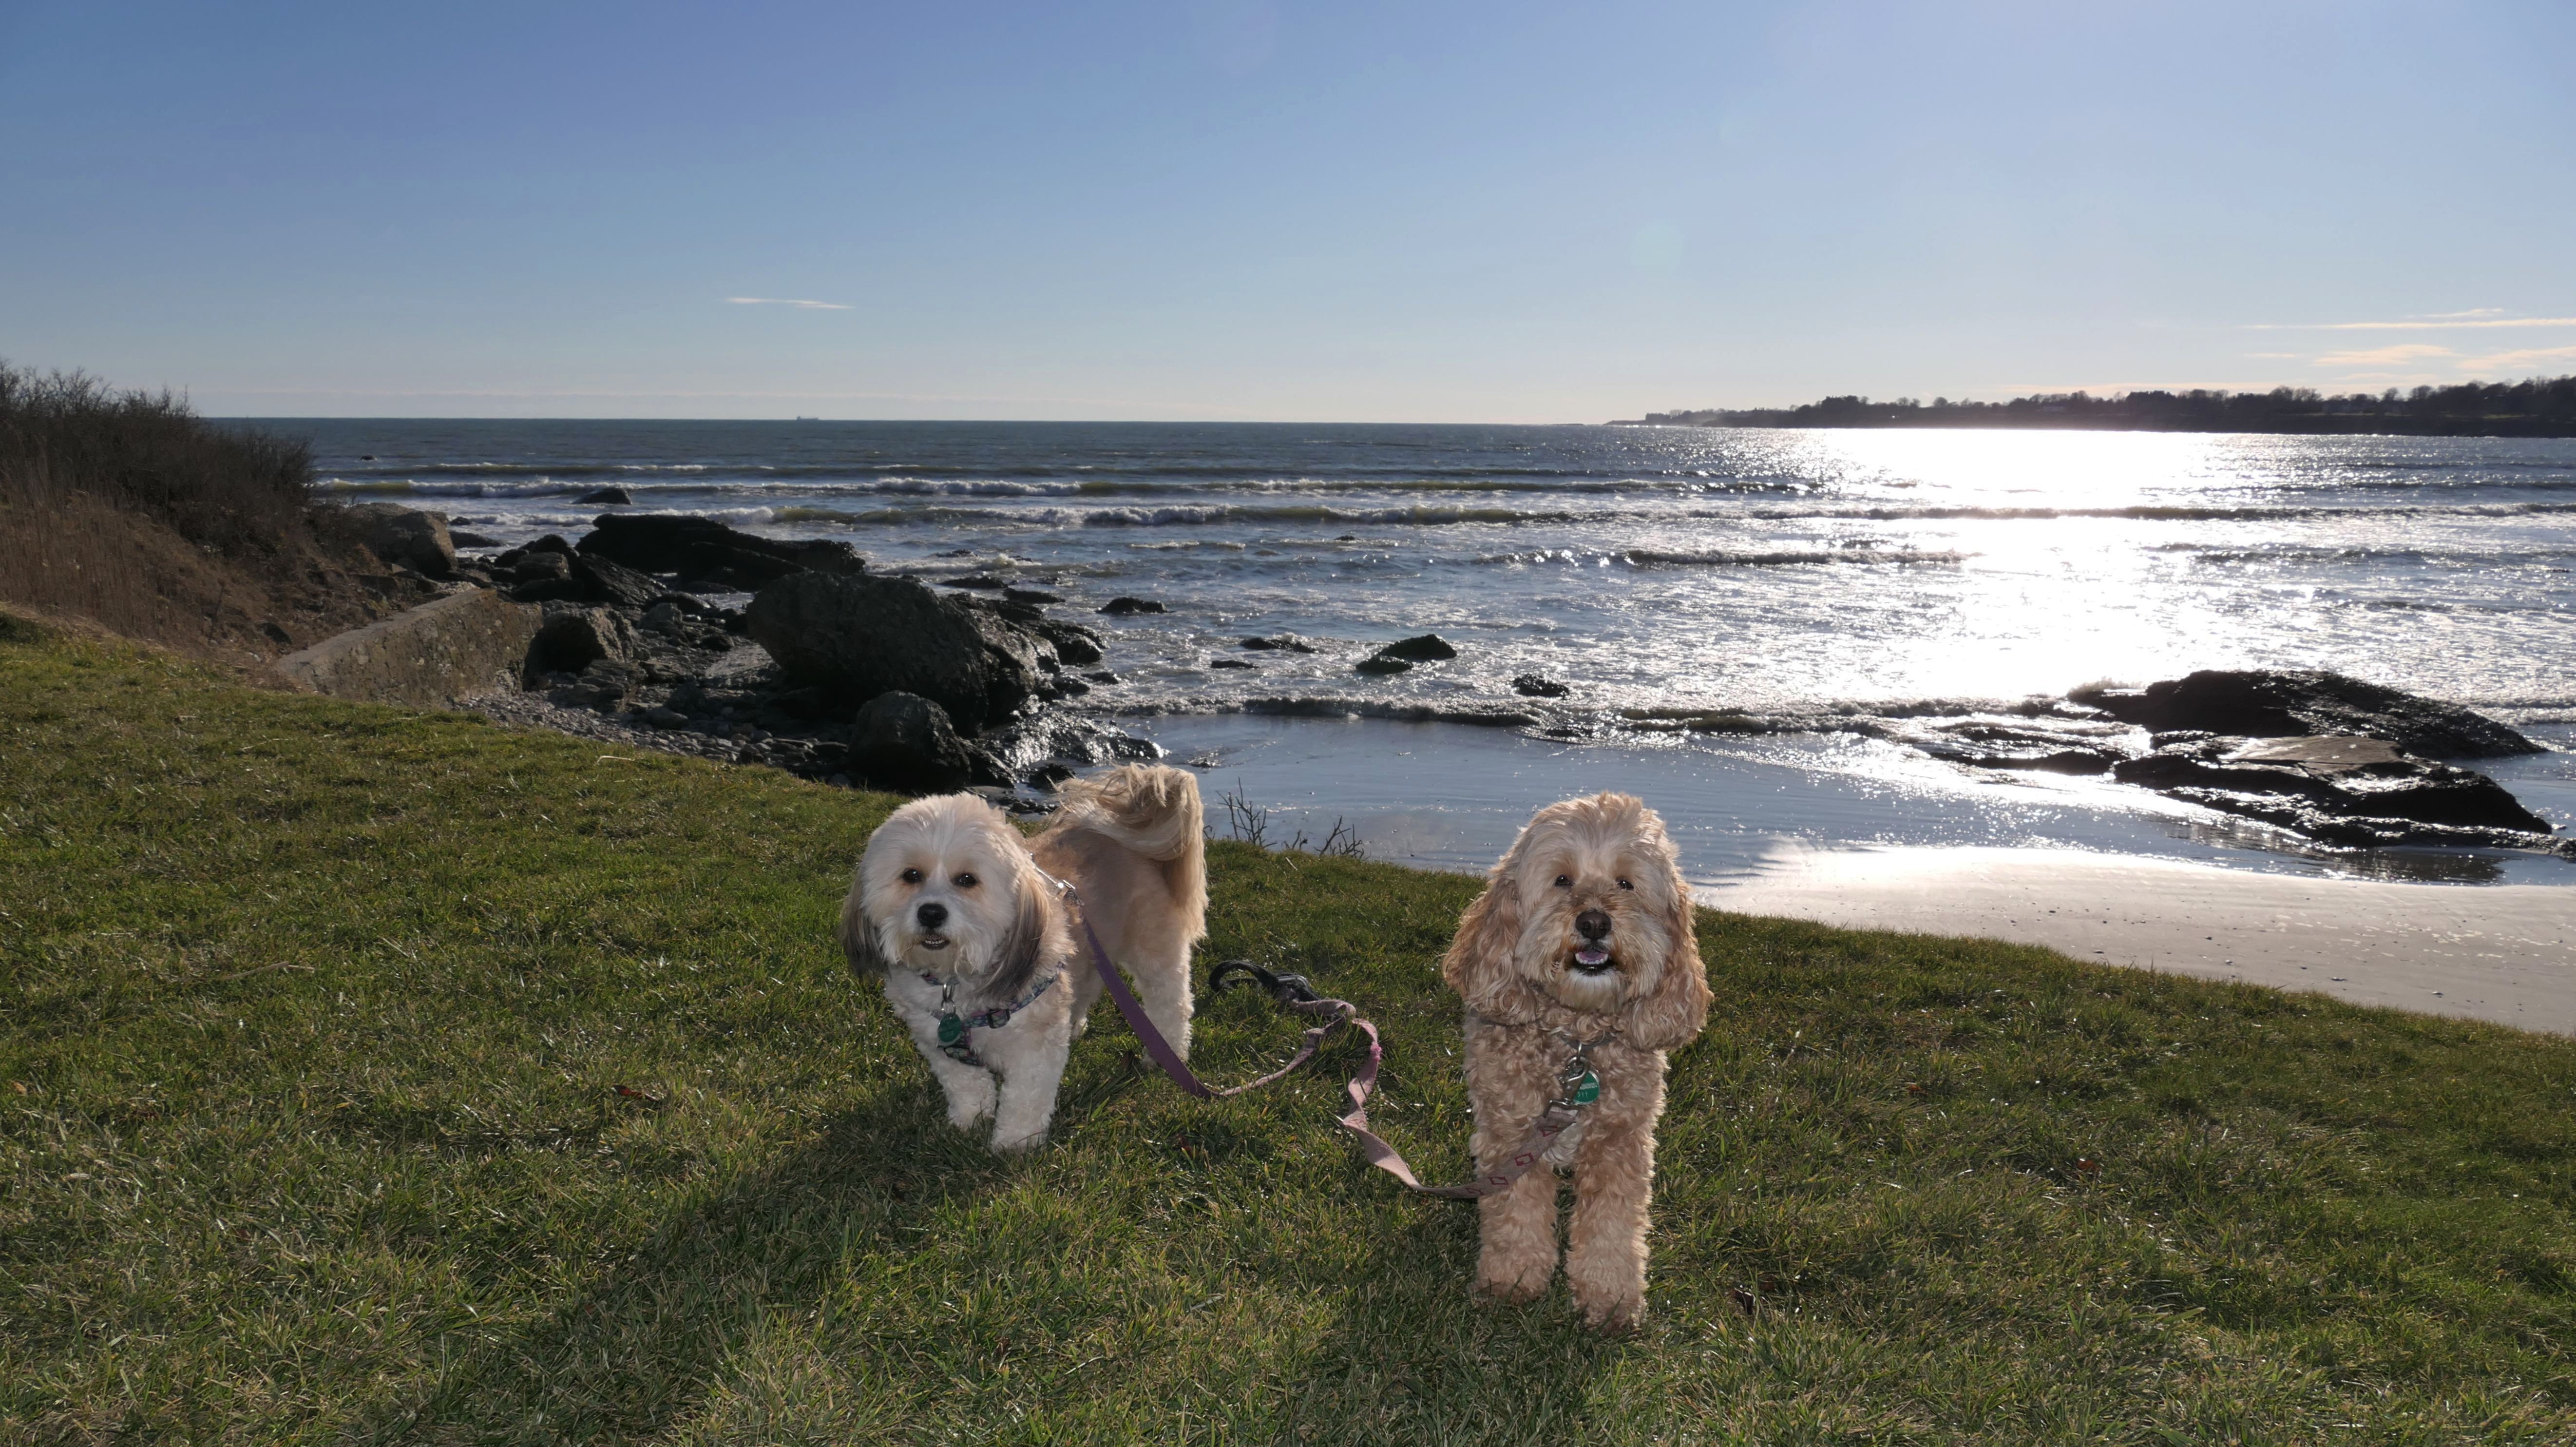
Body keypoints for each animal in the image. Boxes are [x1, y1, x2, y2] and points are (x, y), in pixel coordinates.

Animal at [840, 764, 1206, 1152]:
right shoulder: (938, 1042)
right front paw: (970, 1119)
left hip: (1154, 951)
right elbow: (966, 1084)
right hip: (1092, 953)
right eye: (911, 875)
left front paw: (1016, 1143)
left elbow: (1025, 1098)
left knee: (1171, 1003)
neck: (958, 979)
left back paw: (1167, 1053)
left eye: (967, 879)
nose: (931, 913)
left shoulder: (1034, 1046)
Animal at [1439, 792, 1710, 1330]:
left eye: (1625, 883)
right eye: (1562, 879)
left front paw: (1610, 1296)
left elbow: (1612, 1224)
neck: (1575, 1039)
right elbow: (1514, 1216)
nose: (1593, 922)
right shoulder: (1509, 1133)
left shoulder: (1620, 1140)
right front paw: (1512, 1280)